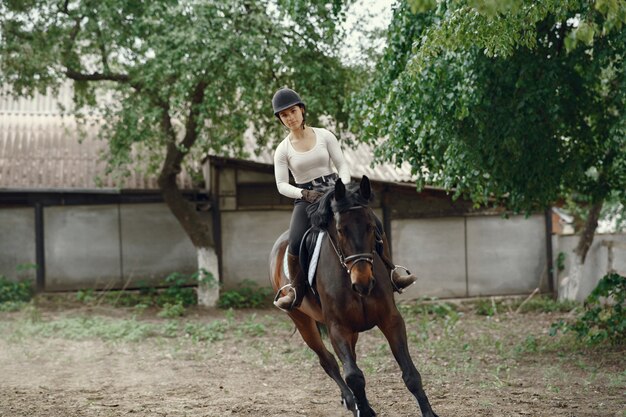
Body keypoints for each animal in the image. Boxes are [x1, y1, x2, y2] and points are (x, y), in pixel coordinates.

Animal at [268, 176, 438, 416]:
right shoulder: (337, 327)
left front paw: (428, 412)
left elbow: (410, 373)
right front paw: (363, 410)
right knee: (328, 361)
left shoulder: (390, 319)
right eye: (340, 230)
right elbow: (354, 376)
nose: (363, 282)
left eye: (371, 227)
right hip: (301, 319)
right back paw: (350, 400)